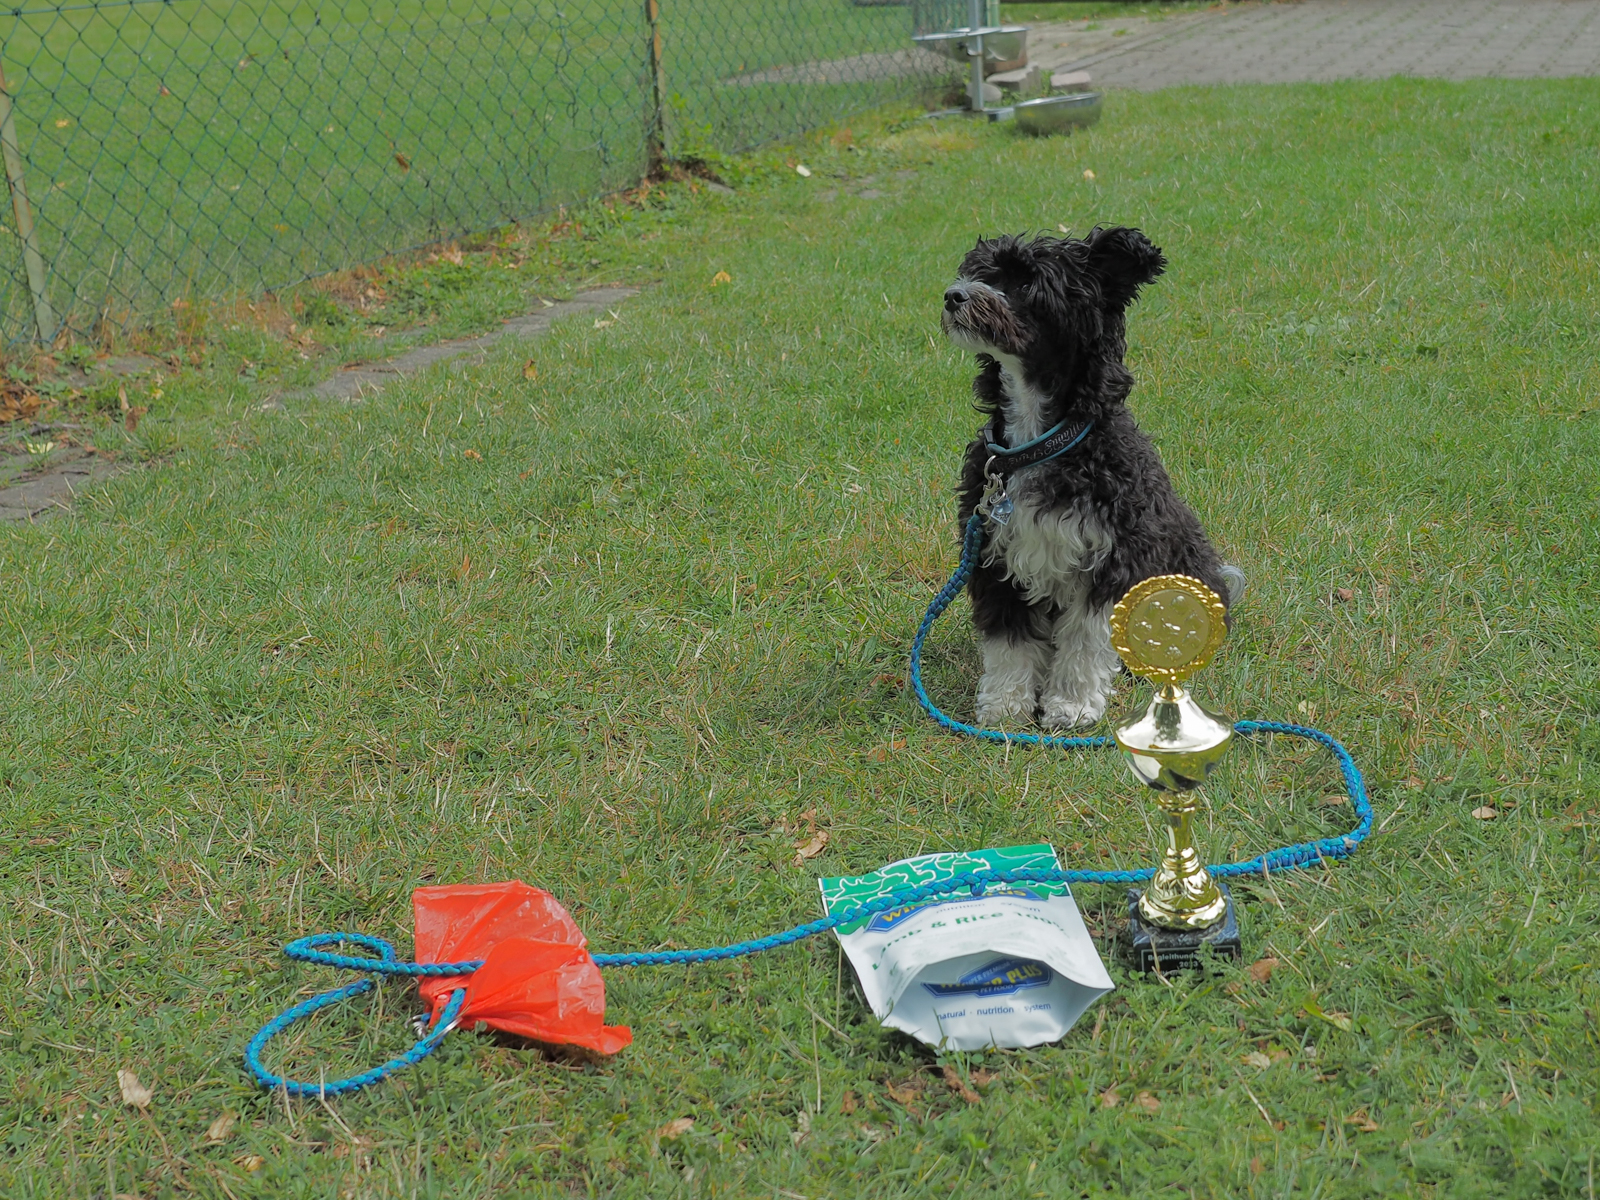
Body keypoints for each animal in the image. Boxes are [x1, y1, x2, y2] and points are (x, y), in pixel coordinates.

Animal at [941, 227, 1242, 729]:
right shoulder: (994, 555)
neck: (1043, 442)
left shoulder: (1110, 560)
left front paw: (1071, 706)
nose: (953, 295)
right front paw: (1005, 706)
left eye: (1027, 283)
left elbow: (1084, 641)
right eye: (982, 272)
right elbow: (1009, 644)